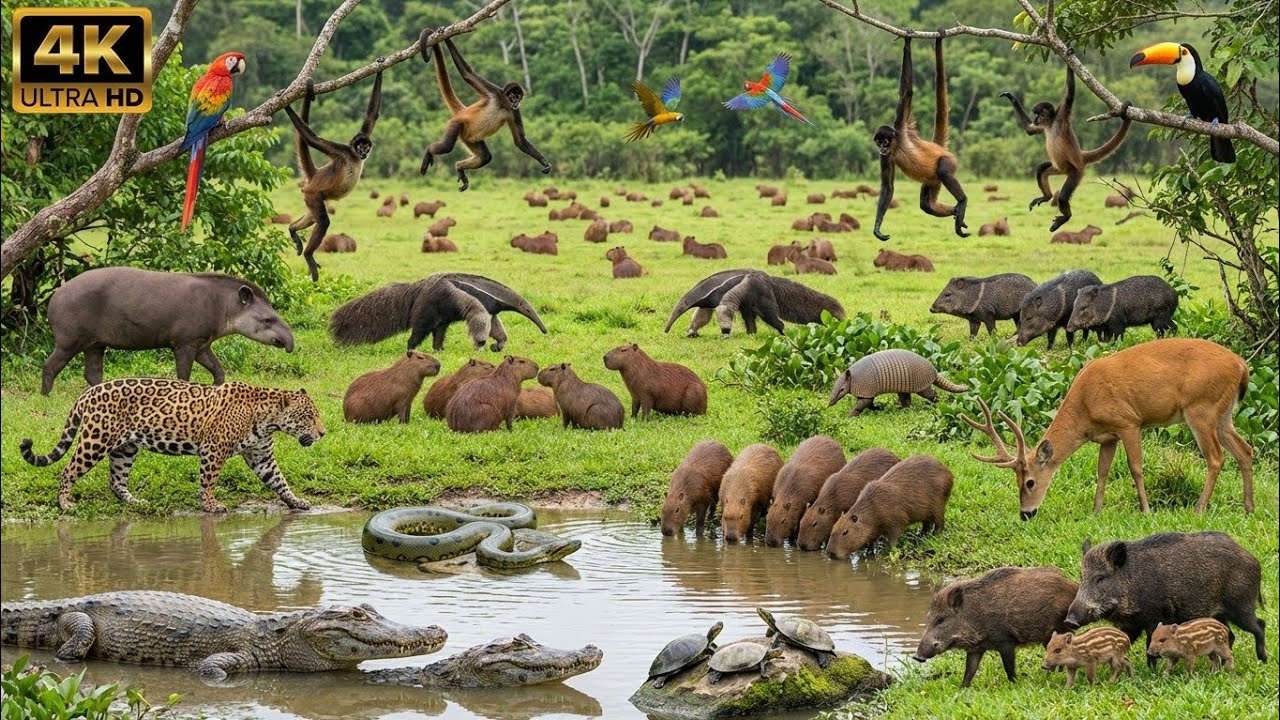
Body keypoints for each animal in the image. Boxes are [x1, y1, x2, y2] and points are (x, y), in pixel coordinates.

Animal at [283, 72, 382, 282]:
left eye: (366, 146)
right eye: (360, 146)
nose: (364, 152)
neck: (353, 157)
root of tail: (315, 175)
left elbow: (372, 115)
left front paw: (379, 68)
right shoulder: (342, 152)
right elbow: (313, 139)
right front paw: (286, 106)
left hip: (312, 198)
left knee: (313, 218)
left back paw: (293, 230)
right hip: (313, 194)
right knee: (323, 221)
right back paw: (308, 255)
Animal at [418, 28, 551, 191]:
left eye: (518, 96)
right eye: (512, 96)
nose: (516, 101)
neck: (502, 104)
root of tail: (462, 111)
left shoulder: (514, 111)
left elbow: (520, 141)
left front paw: (544, 161)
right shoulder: (495, 92)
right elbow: (467, 74)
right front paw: (447, 37)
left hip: (468, 137)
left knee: (485, 157)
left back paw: (459, 167)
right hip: (457, 125)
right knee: (447, 147)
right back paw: (429, 150)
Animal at [872, 34, 968, 243]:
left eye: (885, 140)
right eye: (879, 142)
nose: (882, 147)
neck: (896, 145)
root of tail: (938, 147)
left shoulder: (901, 126)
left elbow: (907, 92)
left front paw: (907, 41)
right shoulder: (885, 157)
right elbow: (888, 187)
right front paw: (877, 228)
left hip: (948, 161)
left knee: (944, 172)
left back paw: (963, 202)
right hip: (932, 180)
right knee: (927, 205)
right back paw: (956, 212)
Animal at [960, 338, 1254, 519]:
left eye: (1030, 482)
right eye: (1016, 481)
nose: (1025, 514)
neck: (1085, 406)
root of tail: (1242, 366)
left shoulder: (1129, 421)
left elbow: (1136, 467)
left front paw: (1146, 510)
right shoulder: (1107, 436)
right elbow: (1102, 471)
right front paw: (1096, 510)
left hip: (1200, 408)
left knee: (1216, 458)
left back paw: (1199, 508)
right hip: (1223, 414)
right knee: (1245, 450)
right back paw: (1249, 507)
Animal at [1000, 61, 1132, 231]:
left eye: (1037, 114)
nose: (1036, 120)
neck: (1051, 123)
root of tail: (1081, 156)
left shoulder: (1062, 115)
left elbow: (1069, 94)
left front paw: (1070, 60)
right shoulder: (1043, 126)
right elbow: (1030, 130)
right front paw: (1011, 97)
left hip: (1075, 172)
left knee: (1063, 197)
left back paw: (1066, 216)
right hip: (1058, 168)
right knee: (1041, 169)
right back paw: (1047, 196)